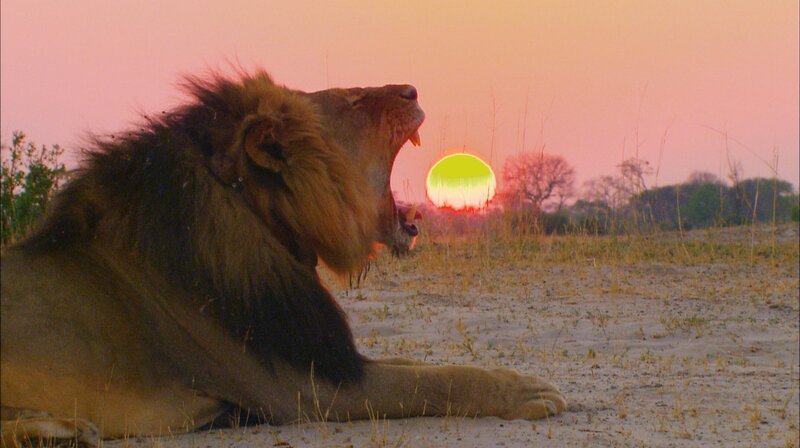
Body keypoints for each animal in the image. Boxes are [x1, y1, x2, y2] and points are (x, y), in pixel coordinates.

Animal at [0, 71, 566, 445]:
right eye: (352, 102)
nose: (413, 91)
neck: (262, 221)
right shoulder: (302, 390)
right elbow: (434, 381)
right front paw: (530, 392)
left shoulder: (327, 357)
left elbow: (416, 364)